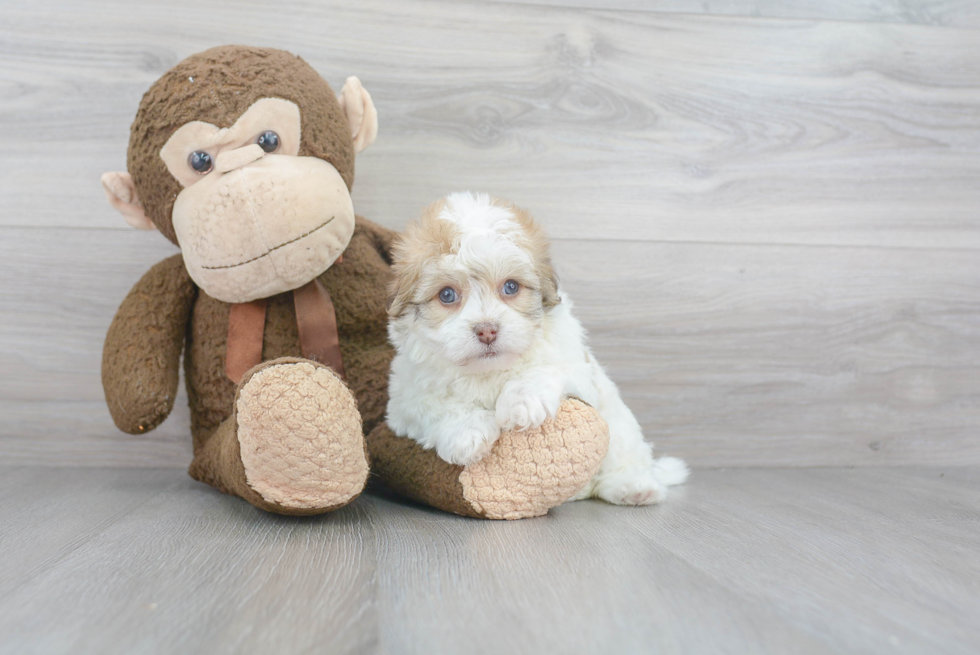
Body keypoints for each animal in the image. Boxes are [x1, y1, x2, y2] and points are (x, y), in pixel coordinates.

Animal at [384, 192, 688, 504]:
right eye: (447, 294)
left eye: (510, 287)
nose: (487, 330)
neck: (489, 371)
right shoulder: (404, 399)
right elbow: (432, 404)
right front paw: (467, 432)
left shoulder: (576, 367)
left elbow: (544, 369)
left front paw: (522, 402)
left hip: (619, 423)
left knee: (621, 457)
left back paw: (633, 486)